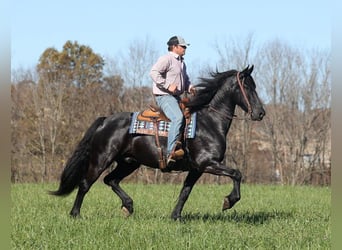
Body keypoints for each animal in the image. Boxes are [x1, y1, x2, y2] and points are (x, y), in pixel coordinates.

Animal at [50, 65, 264, 221]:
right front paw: (229, 201)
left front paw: (176, 216)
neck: (209, 122)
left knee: (110, 180)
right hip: (101, 159)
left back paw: (128, 206)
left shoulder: (197, 169)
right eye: (247, 87)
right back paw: (76, 214)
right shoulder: (207, 163)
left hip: (129, 163)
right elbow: (237, 174)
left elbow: (185, 192)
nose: (260, 113)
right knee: (86, 184)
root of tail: (105, 121)